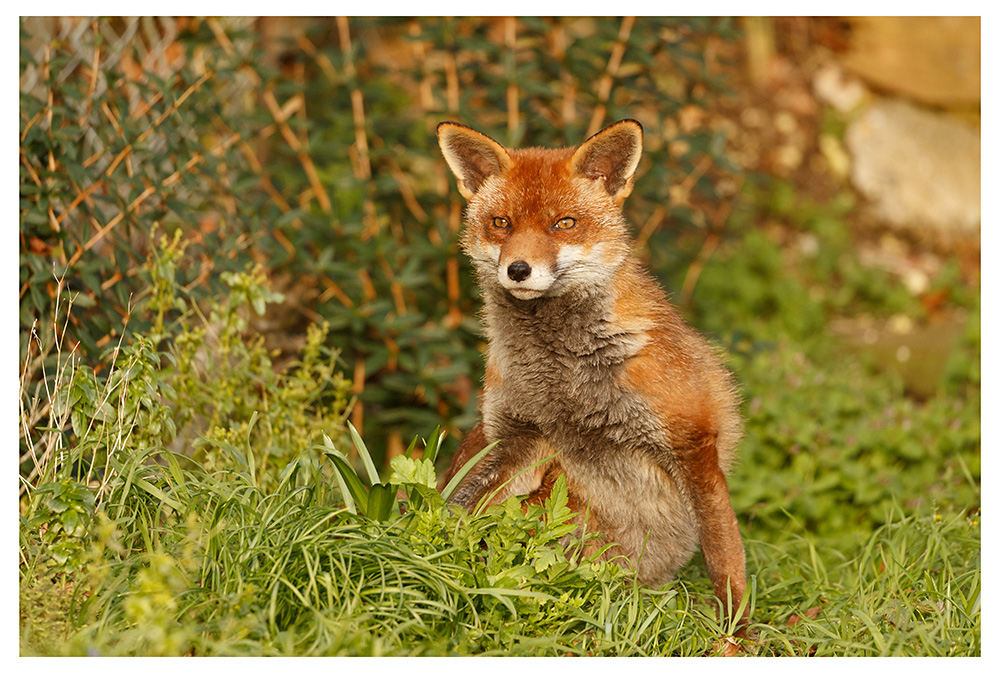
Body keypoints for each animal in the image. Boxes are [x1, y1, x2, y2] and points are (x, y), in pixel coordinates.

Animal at [436, 119, 748, 637]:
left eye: (564, 223)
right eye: (501, 223)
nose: (517, 270)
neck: (565, 381)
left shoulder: (692, 441)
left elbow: (726, 565)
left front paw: (737, 639)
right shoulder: (516, 432)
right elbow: (459, 501)